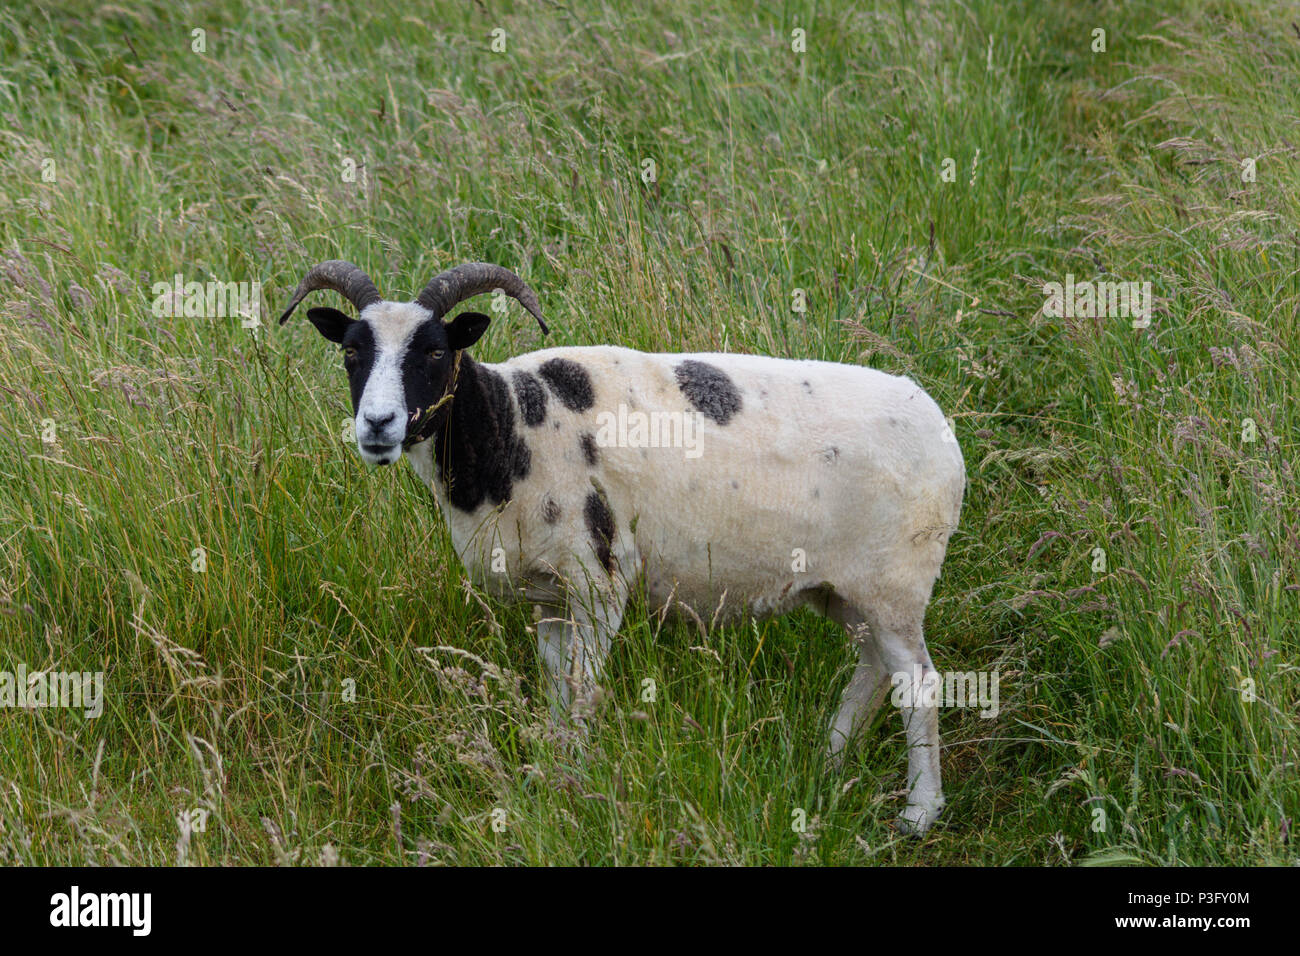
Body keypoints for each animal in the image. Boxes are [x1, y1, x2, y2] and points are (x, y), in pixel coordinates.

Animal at [282, 257, 967, 832]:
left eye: (433, 350)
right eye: (351, 351)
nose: (377, 425)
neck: (509, 428)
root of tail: (942, 429)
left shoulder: (599, 580)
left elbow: (583, 691)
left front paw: (572, 785)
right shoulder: (550, 595)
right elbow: (558, 690)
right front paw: (551, 774)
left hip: (896, 581)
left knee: (919, 684)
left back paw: (919, 813)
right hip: (846, 589)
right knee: (875, 668)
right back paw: (829, 761)